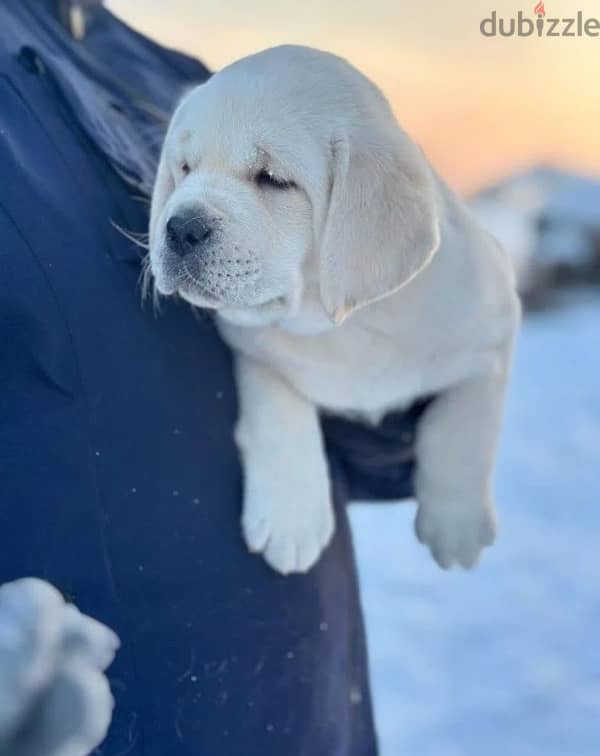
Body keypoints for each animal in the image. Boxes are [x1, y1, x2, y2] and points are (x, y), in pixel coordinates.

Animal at [146, 45, 520, 572]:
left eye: (273, 179)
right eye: (184, 168)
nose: (179, 227)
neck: (338, 325)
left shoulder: (494, 326)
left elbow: (466, 424)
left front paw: (457, 525)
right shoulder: (253, 349)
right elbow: (278, 410)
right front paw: (292, 520)